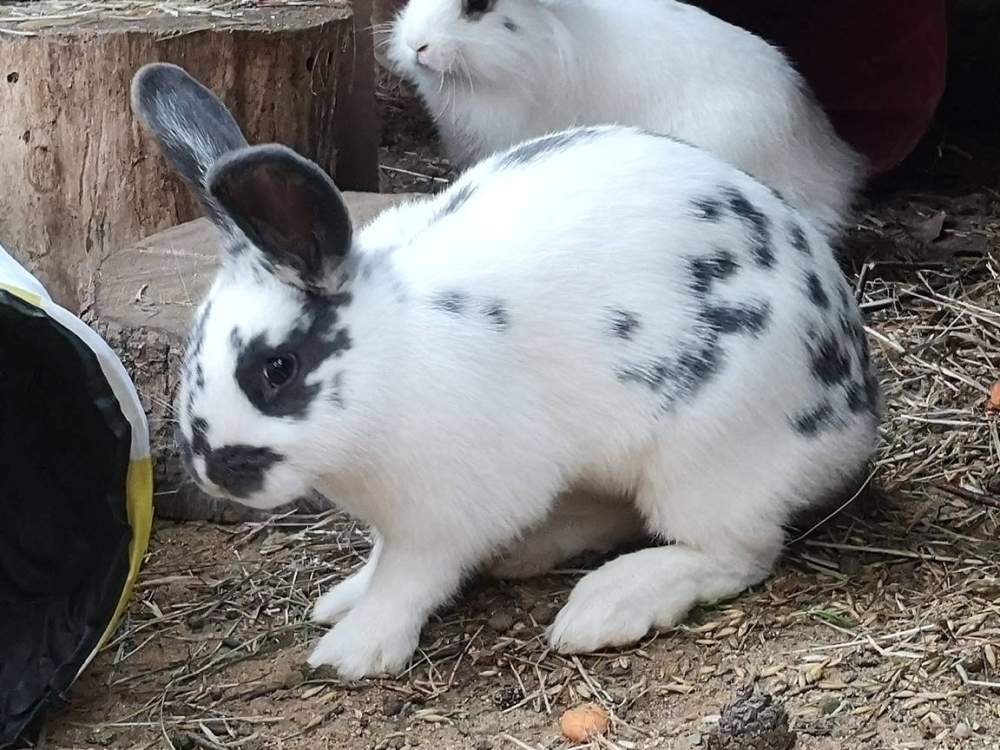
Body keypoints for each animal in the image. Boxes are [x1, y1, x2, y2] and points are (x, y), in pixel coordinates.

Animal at [132, 62, 881, 680]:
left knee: (736, 552)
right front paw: (342, 600)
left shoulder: (441, 516)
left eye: (277, 368)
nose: (213, 471)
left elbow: (408, 580)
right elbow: (379, 562)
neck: (393, 351)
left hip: (704, 462)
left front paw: (353, 650)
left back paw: (605, 606)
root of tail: (858, 417)